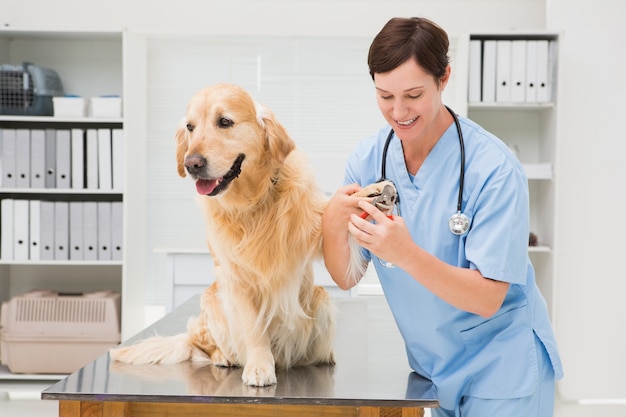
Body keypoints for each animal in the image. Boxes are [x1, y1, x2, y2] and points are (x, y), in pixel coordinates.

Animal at [111, 83, 336, 386]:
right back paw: (223, 356)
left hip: (321, 300)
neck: (253, 202)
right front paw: (259, 366)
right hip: (212, 304)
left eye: (225, 122)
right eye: (190, 127)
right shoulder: (236, 277)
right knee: (200, 346)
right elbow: (253, 328)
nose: (191, 164)